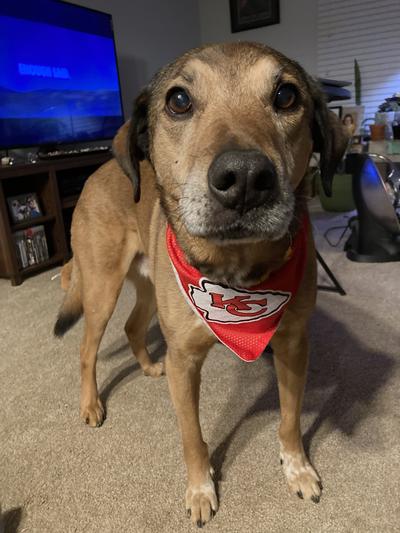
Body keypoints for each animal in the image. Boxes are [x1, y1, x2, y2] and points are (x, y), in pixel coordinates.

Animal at [54, 43, 348, 524]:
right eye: (178, 100)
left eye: (286, 96)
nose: (245, 178)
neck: (235, 274)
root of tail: (97, 170)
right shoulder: (186, 360)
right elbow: (192, 436)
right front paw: (200, 489)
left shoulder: (292, 345)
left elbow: (289, 418)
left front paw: (298, 467)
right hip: (101, 287)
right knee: (86, 349)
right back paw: (91, 404)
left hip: (149, 286)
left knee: (132, 327)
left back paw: (148, 366)